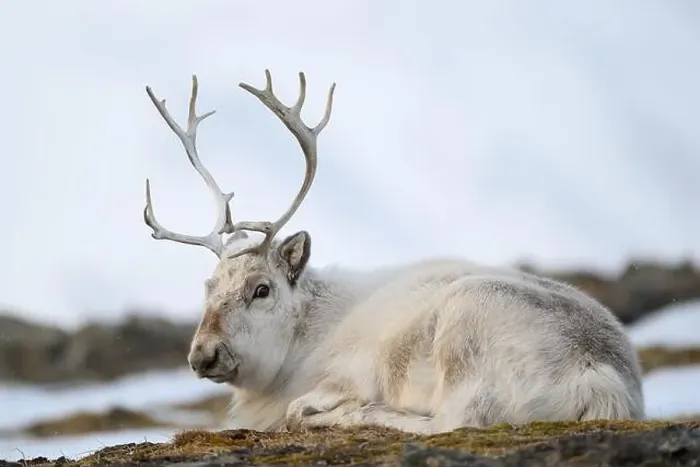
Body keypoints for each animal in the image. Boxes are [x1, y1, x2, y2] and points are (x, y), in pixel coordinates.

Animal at [141, 68, 645, 434]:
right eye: (208, 287)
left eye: (261, 289)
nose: (202, 355)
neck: (302, 340)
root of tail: (604, 382)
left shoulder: (344, 374)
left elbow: (306, 404)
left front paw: (324, 409)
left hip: (466, 329)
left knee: (453, 422)